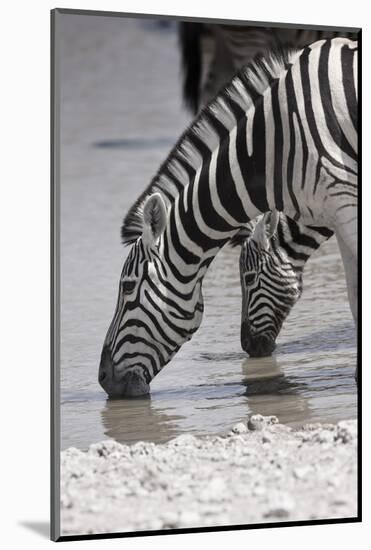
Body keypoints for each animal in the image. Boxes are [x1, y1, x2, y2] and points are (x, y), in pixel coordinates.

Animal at [99, 40, 358, 402]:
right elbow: (355, 297)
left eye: (126, 287)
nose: (102, 379)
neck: (273, 150)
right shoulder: (340, 210)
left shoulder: (346, 198)